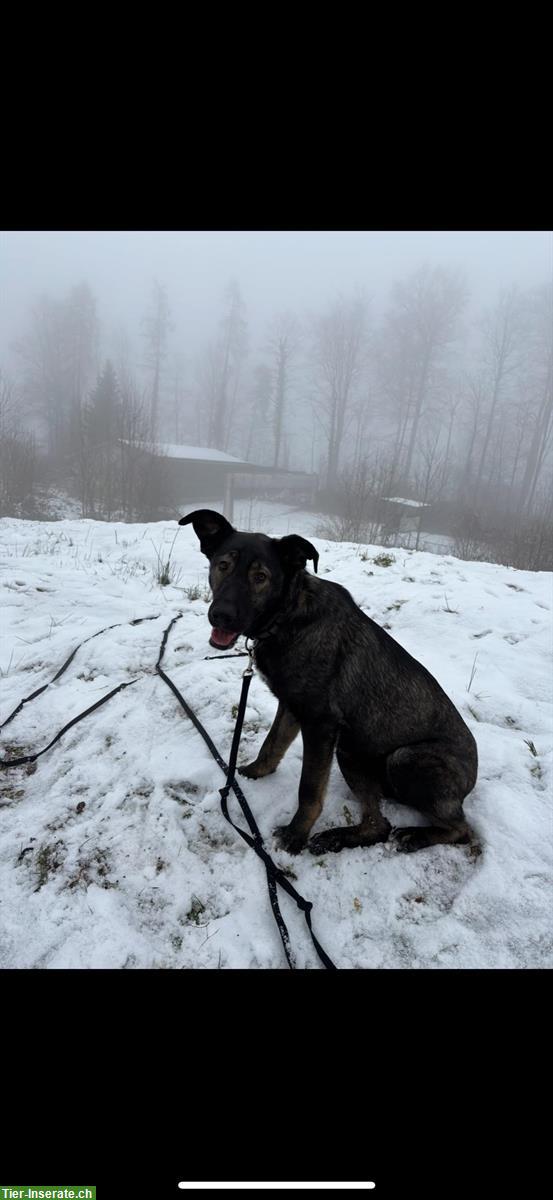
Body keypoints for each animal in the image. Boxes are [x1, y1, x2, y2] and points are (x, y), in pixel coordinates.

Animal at [178, 506, 477, 854]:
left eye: (260, 577)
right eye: (222, 566)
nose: (221, 616)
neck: (287, 616)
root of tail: (470, 782)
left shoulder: (320, 723)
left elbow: (309, 788)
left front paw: (296, 835)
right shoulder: (292, 706)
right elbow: (272, 745)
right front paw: (253, 774)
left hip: (400, 758)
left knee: (460, 829)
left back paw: (415, 836)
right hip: (351, 752)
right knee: (378, 824)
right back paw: (338, 838)